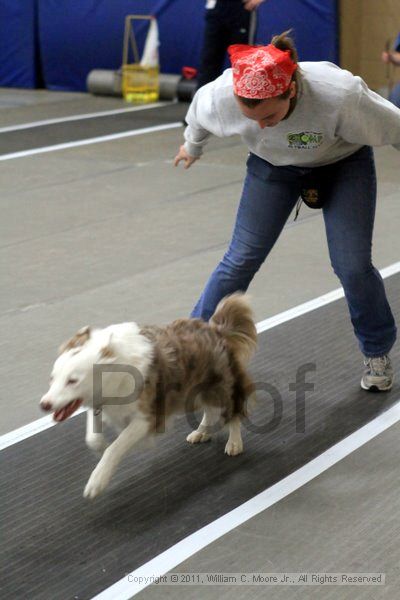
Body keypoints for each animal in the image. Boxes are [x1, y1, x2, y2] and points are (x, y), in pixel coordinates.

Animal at [39, 294, 256, 496]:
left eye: (72, 380)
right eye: (52, 378)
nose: (44, 404)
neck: (114, 370)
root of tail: (216, 329)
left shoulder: (147, 417)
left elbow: (116, 447)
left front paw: (97, 481)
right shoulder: (102, 403)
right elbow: (92, 436)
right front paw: (99, 445)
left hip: (221, 386)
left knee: (233, 410)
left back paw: (234, 443)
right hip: (195, 392)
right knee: (210, 412)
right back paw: (201, 432)